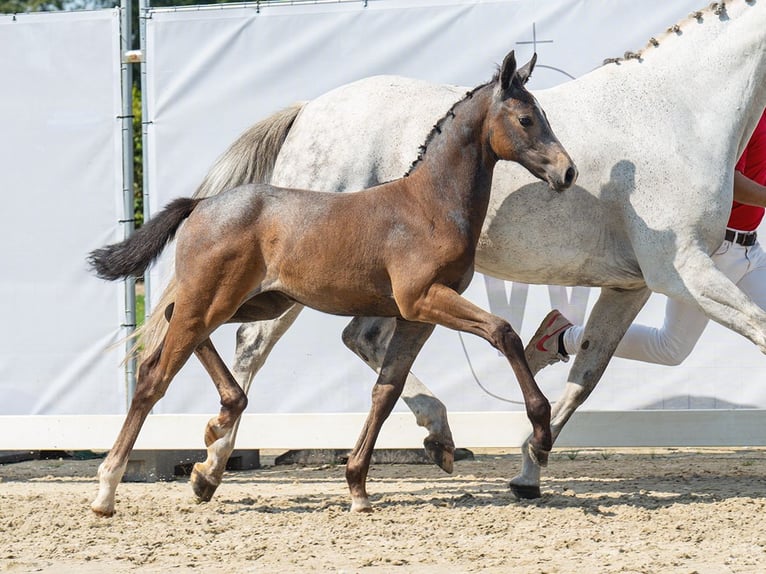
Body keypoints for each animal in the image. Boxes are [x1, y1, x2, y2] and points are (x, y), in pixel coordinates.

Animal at [88, 50, 576, 516]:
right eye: (526, 118)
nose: (567, 171)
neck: (429, 204)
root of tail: (200, 203)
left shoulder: (417, 315)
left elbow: (386, 390)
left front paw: (359, 486)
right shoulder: (424, 299)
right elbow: (503, 333)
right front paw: (541, 430)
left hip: (252, 301)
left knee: (179, 328)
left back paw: (222, 420)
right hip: (213, 300)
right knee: (155, 375)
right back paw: (109, 488)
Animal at [140, 0, 766, 502]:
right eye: (526, 118)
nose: (565, 174)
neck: (674, 112)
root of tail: (309, 110)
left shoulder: (630, 284)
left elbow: (586, 374)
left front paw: (529, 471)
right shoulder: (682, 270)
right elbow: (760, 330)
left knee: (359, 340)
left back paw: (435, 435)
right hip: (295, 279)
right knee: (251, 342)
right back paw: (211, 467)